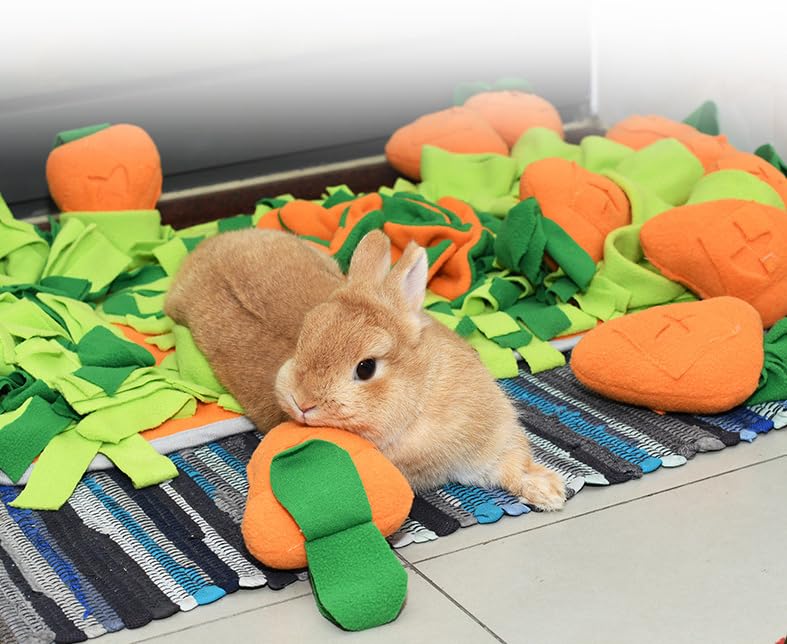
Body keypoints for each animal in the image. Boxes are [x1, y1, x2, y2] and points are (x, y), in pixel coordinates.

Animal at [274, 230, 566, 510]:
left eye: (366, 368)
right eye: (304, 336)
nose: (301, 402)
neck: (420, 399)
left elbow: (511, 461)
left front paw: (549, 493)